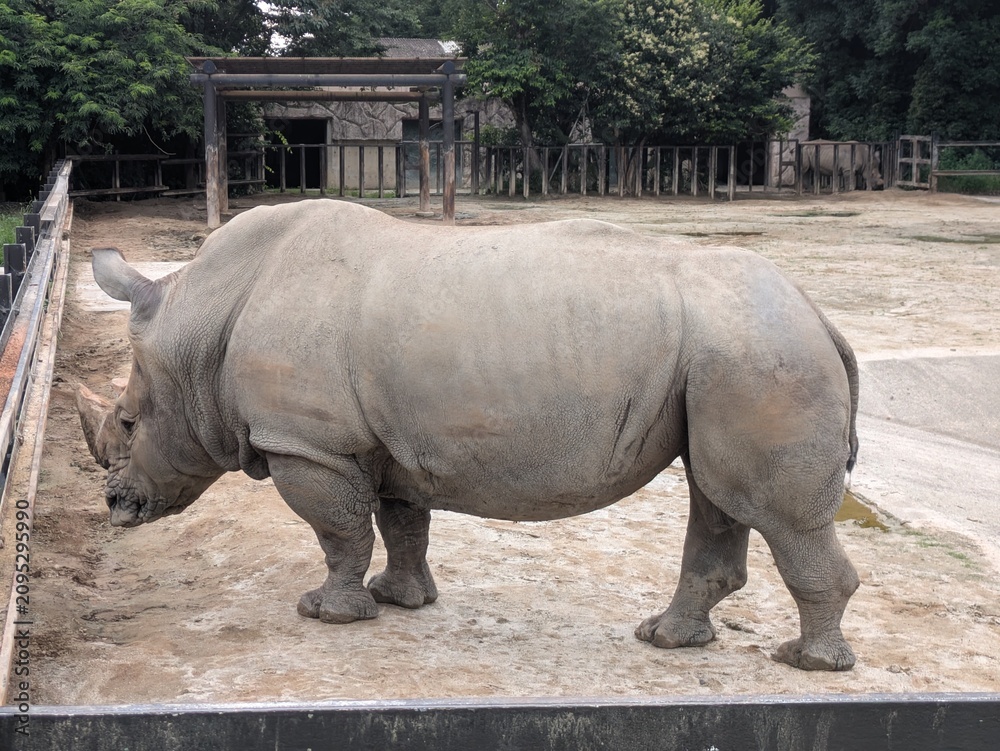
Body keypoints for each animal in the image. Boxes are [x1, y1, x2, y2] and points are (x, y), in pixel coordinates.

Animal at [77, 199, 861, 671]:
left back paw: (806, 662)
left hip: (759, 354)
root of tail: (818, 313)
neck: (198, 324)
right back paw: (668, 639)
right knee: (717, 494)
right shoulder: (381, 442)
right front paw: (402, 601)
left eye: (128, 424)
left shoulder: (310, 444)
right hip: (735, 356)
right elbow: (400, 523)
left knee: (770, 511)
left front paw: (327, 614)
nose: (116, 508)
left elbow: (337, 531)